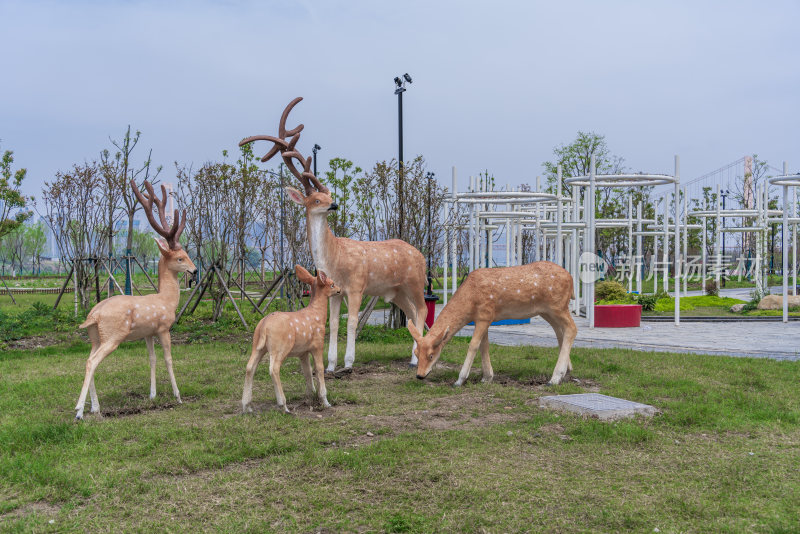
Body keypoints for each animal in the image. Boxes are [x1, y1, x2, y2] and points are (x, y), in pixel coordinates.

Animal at [73, 182, 197, 420]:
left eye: (187, 253)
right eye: (180, 258)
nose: (194, 270)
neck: (167, 301)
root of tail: (93, 315)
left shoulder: (147, 332)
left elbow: (152, 358)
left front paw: (152, 395)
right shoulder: (163, 327)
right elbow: (168, 358)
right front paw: (178, 396)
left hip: (95, 337)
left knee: (87, 360)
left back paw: (94, 407)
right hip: (113, 335)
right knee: (92, 362)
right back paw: (79, 411)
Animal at [241, 97, 428, 372]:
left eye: (329, 195)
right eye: (317, 199)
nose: (335, 205)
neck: (335, 258)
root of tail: (421, 255)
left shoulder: (357, 285)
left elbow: (351, 322)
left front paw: (348, 363)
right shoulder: (337, 291)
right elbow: (333, 324)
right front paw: (330, 365)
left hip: (415, 281)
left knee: (423, 310)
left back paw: (417, 359)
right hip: (396, 291)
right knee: (413, 315)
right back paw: (413, 358)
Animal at [244, 266, 344, 414]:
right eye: (332, 284)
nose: (339, 289)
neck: (318, 315)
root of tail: (264, 326)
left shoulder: (303, 352)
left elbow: (307, 371)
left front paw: (310, 396)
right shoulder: (317, 345)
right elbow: (319, 369)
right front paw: (325, 401)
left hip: (257, 346)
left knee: (250, 367)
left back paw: (246, 406)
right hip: (281, 346)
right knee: (273, 369)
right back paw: (284, 406)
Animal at [406, 262, 576, 388]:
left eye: (431, 355)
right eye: (416, 353)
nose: (420, 375)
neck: (470, 302)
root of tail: (571, 280)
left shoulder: (485, 313)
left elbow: (474, 345)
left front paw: (460, 380)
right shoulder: (483, 318)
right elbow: (484, 345)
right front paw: (487, 377)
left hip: (558, 305)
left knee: (572, 328)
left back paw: (555, 378)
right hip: (547, 311)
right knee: (560, 331)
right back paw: (567, 371)